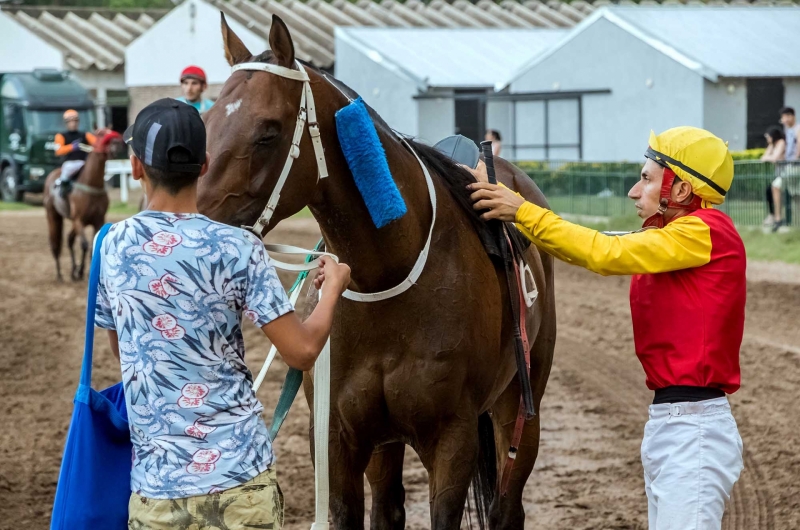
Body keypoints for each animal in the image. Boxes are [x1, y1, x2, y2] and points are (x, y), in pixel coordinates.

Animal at [199, 14, 560, 524]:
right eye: (207, 122)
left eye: (268, 132)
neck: (387, 277)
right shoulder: (337, 440)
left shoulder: (453, 439)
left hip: (521, 408)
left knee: (508, 507)